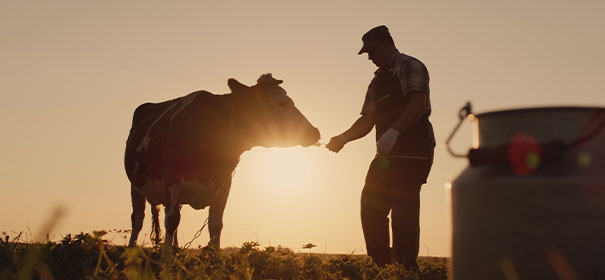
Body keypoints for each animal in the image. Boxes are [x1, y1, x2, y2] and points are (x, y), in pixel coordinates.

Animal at [123, 73, 320, 248]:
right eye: (282, 104)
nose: (315, 131)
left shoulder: (224, 185)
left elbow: (216, 226)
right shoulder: (172, 181)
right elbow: (171, 222)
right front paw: (166, 262)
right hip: (135, 187)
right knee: (138, 220)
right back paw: (132, 250)